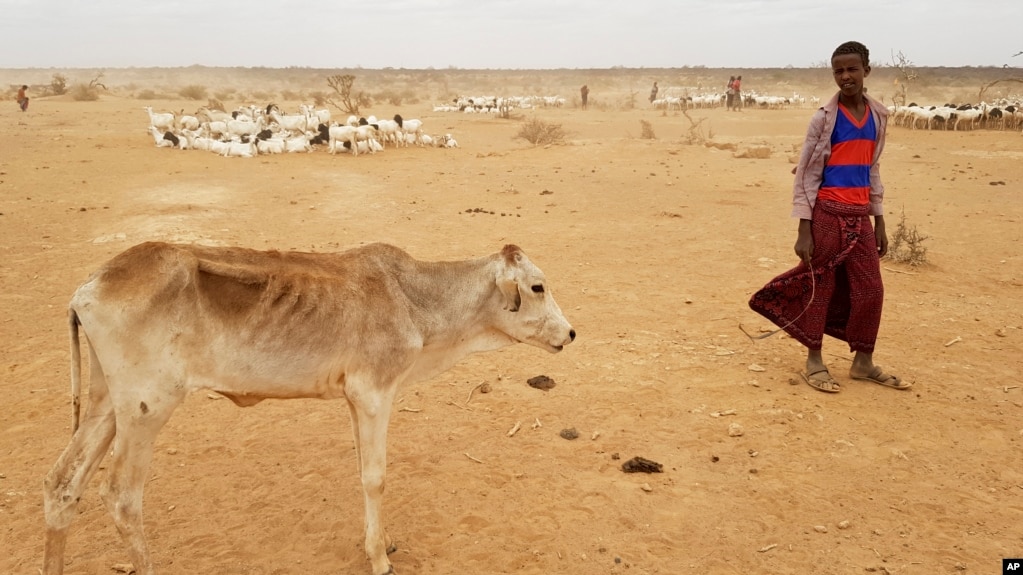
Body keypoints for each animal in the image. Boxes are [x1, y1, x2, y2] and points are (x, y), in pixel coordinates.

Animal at [41, 241, 576, 572]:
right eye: (537, 287)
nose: (570, 333)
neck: (415, 298)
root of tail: (87, 288)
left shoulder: (355, 400)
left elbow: (362, 472)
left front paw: (377, 541)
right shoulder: (375, 394)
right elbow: (375, 477)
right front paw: (380, 559)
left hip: (108, 403)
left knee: (63, 484)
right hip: (147, 409)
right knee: (121, 497)